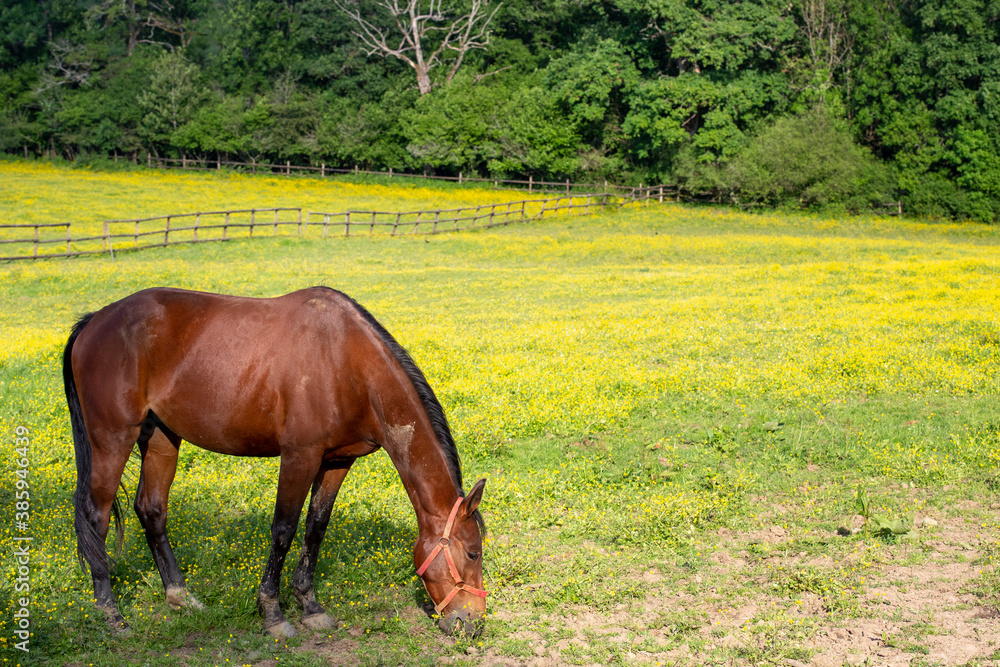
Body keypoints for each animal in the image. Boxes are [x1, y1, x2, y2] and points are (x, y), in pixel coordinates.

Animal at [62, 286, 488, 636]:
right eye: (473, 552)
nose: (472, 623)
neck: (347, 362)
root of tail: (94, 321)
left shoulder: (337, 461)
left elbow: (316, 528)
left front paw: (310, 606)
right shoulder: (299, 456)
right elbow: (283, 530)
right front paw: (273, 613)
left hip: (162, 438)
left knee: (151, 510)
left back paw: (180, 596)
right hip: (112, 439)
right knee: (97, 518)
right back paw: (112, 615)